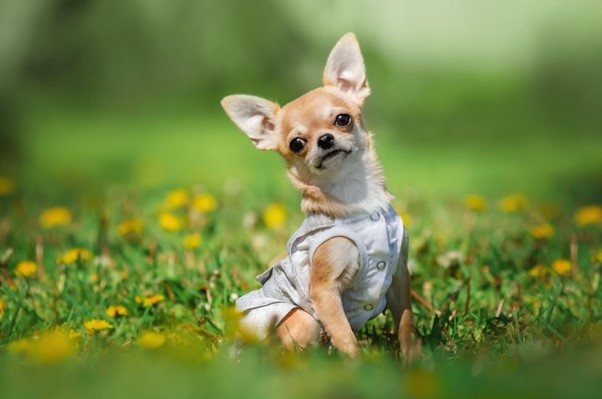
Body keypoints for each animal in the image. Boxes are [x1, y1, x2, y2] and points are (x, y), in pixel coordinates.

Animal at [220, 33, 418, 360]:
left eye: (342, 119)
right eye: (297, 143)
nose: (324, 139)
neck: (353, 196)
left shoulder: (399, 276)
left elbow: (406, 324)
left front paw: (414, 360)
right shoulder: (324, 292)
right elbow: (345, 336)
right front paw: (361, 367)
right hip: (303, 319)